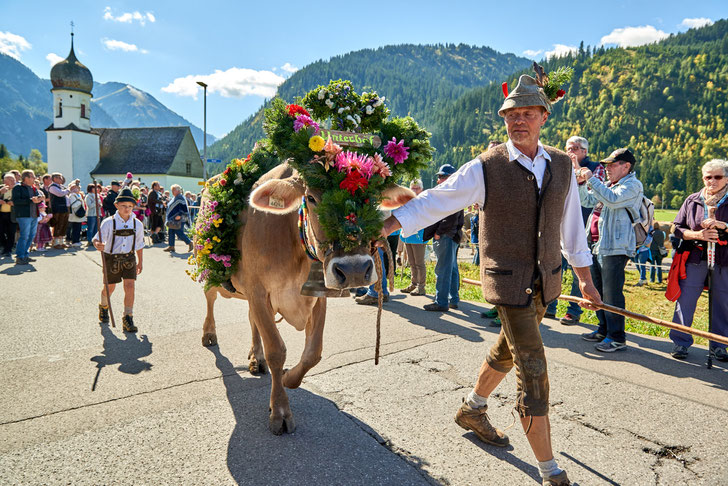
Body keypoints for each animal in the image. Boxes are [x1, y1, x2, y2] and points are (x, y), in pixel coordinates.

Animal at [198, 162, 416, 432]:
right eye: (311, 198)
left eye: (375, 199)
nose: (354, 270)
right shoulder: (258, 291)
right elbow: (276, 350)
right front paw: (280, 411)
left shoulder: (317, 294)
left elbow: (314, 352)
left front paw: (288, 378)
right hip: (209, 269)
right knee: (210, 299)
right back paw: (209, 334)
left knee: (251, 321)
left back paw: (256, 358)